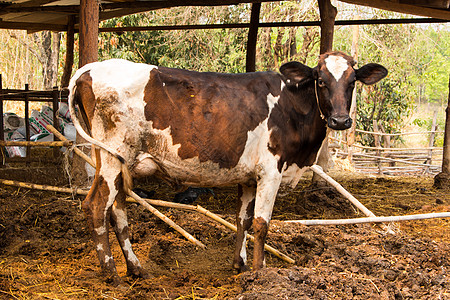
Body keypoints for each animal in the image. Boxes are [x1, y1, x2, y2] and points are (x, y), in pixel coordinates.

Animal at [67, 51, 386, 284]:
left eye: (352, 81)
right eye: (320, 80)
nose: (341, 121)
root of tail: (90, 69)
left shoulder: (249, 176)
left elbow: (242, 220)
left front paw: (240, 265)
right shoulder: (271, 171)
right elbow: (261, 223)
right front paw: (260, 274)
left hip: (115, 159)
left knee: (117, 209)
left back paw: (135, 268)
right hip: (113, 154)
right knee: (97, 206)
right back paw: (111, 274)